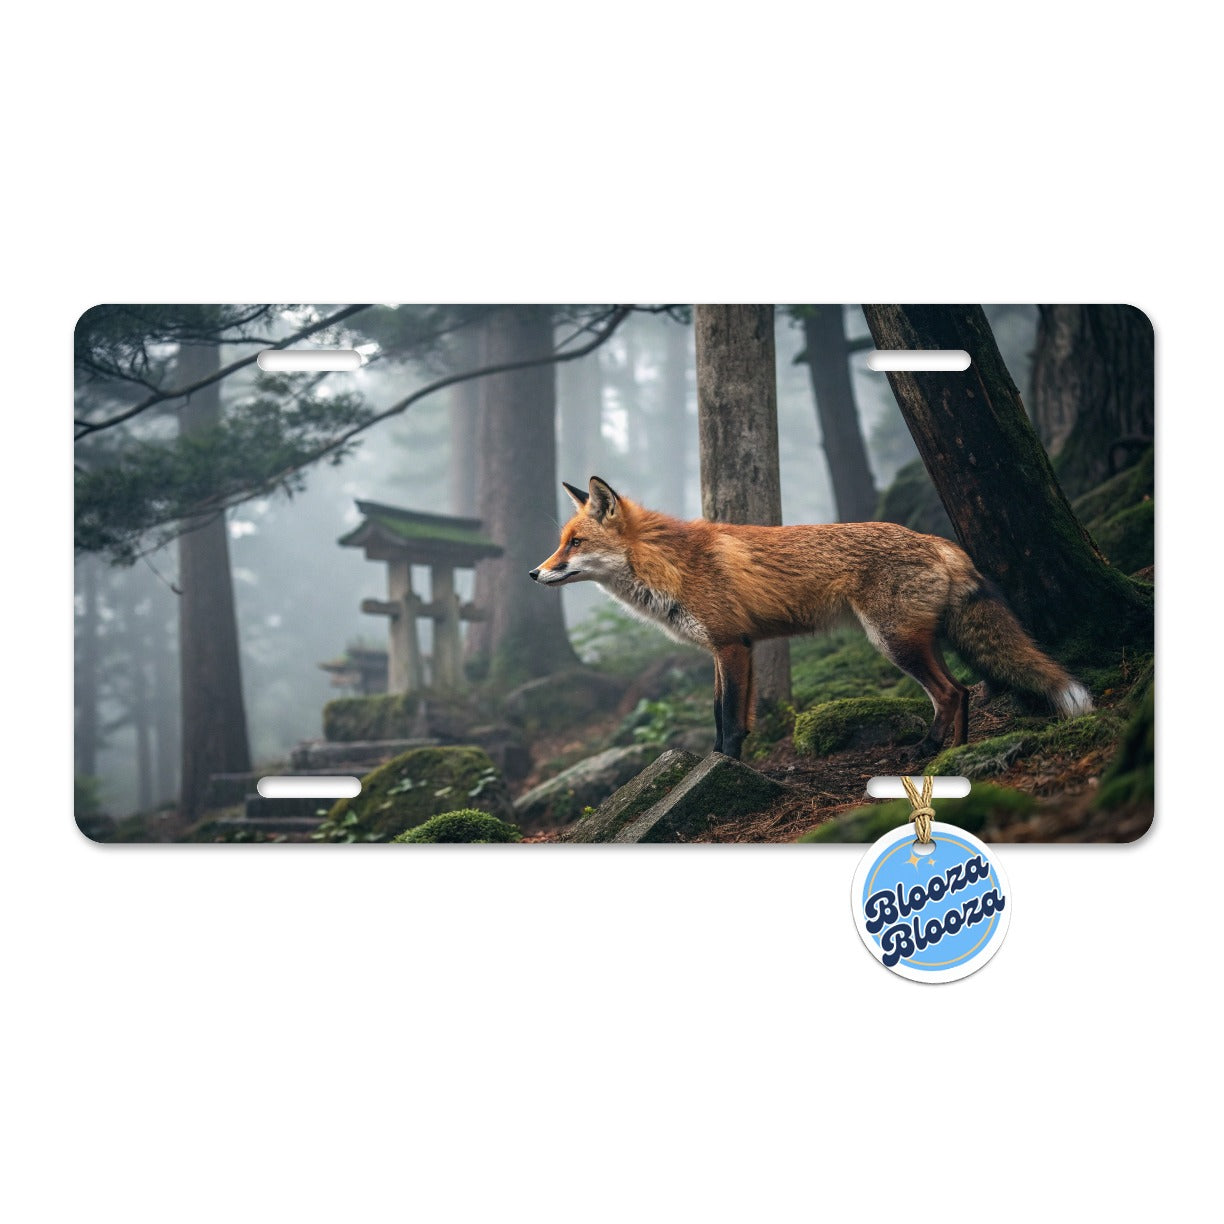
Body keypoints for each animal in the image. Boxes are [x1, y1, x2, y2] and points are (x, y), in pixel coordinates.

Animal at [530, 476, 1093, 760]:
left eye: (574, 543)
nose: (535, 573)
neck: (671, 566)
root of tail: (936, 540)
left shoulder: (731, 646)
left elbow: (730, 719)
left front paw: (728, 765)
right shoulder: (727, 647)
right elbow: (722, 713)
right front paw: (716, 759)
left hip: (894, 642)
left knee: (951, 693)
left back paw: (926, 751)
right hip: (921, 640)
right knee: (962, 691)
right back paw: (954, 755)